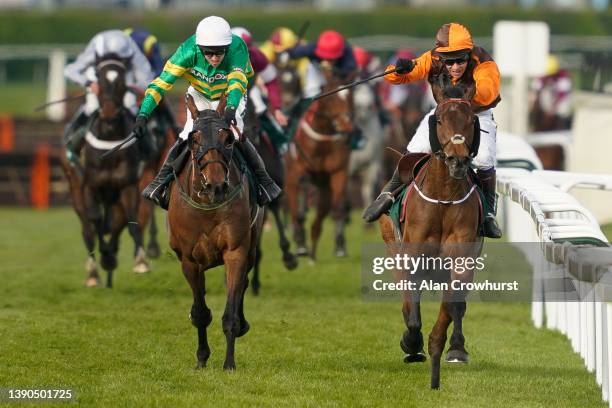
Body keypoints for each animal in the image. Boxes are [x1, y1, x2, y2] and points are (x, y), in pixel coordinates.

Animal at [60, 54, 149, 288]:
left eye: (122, 81)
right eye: (98, 78)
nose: (109, 113)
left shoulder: (127, 185)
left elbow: (130, 221)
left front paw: (139, 261)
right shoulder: (90, 187)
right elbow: (95, 221)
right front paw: (105, 258)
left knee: (117, 222)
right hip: (76, 192)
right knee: (87, 230)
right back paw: (93, 273)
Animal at [167, 93, 262, 370]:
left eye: (228, 139)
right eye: (194, 139)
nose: (216, 185)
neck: (208, 206)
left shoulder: (236, 252)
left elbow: (230, 311)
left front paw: (229, 363)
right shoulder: (189, 260)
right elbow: (199, 313)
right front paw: (201, 358)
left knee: (243, 284)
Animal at [286, 73, 356, 262]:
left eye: (350, 95)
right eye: (331, 98)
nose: (346, 125)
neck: (322, 143)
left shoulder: (338, 173)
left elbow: (338, 207)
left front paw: (339, 247)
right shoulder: (299, 168)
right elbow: (302, 188)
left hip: (325, 190)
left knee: (319, 217)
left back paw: (312, 252)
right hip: (291, 180)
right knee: (294, 208)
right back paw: (301, 244)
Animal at [378, 79, 482, 388]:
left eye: (471, 120)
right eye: (439, 119)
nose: (458, 161)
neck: (443, 199)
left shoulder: (461, 260)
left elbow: (451, 307)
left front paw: (445, 346)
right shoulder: (411, 256)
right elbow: (412, 312)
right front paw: (412, 344)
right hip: (393, 247)